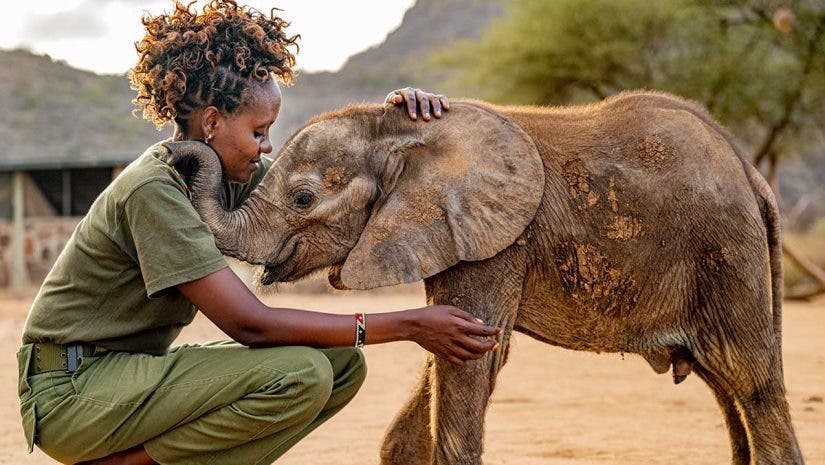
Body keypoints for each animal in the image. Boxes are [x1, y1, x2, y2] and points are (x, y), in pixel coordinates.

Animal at [164, 90, 804, 465]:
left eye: (302, 198)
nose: (178, 150)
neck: (393, 131)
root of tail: (751, 172)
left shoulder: (493, 239)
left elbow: (474, 361)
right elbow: (448, 356)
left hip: (726, 253)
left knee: (751, 383)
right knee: (729, 392)